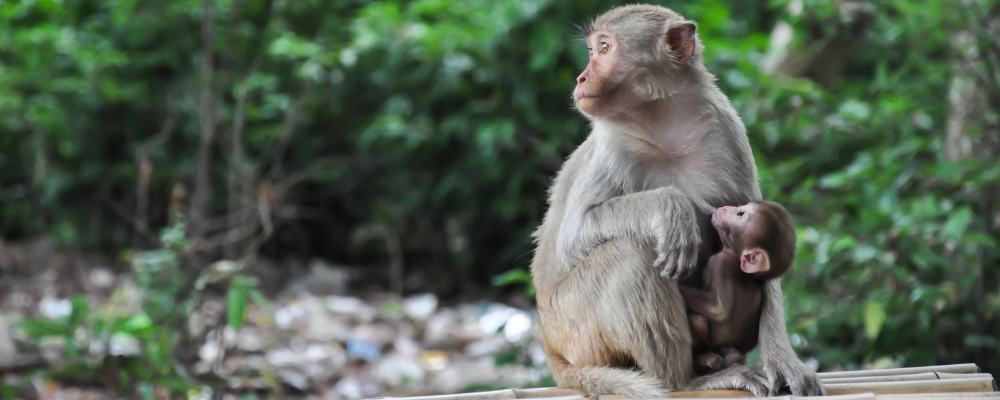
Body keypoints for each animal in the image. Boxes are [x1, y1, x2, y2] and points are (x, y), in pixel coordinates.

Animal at [680, 202, 796, 374]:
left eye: (740, 214)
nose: (725, 207)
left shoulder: (720, 263)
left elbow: (718, 309)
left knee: (698, 320)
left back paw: (704, 359)